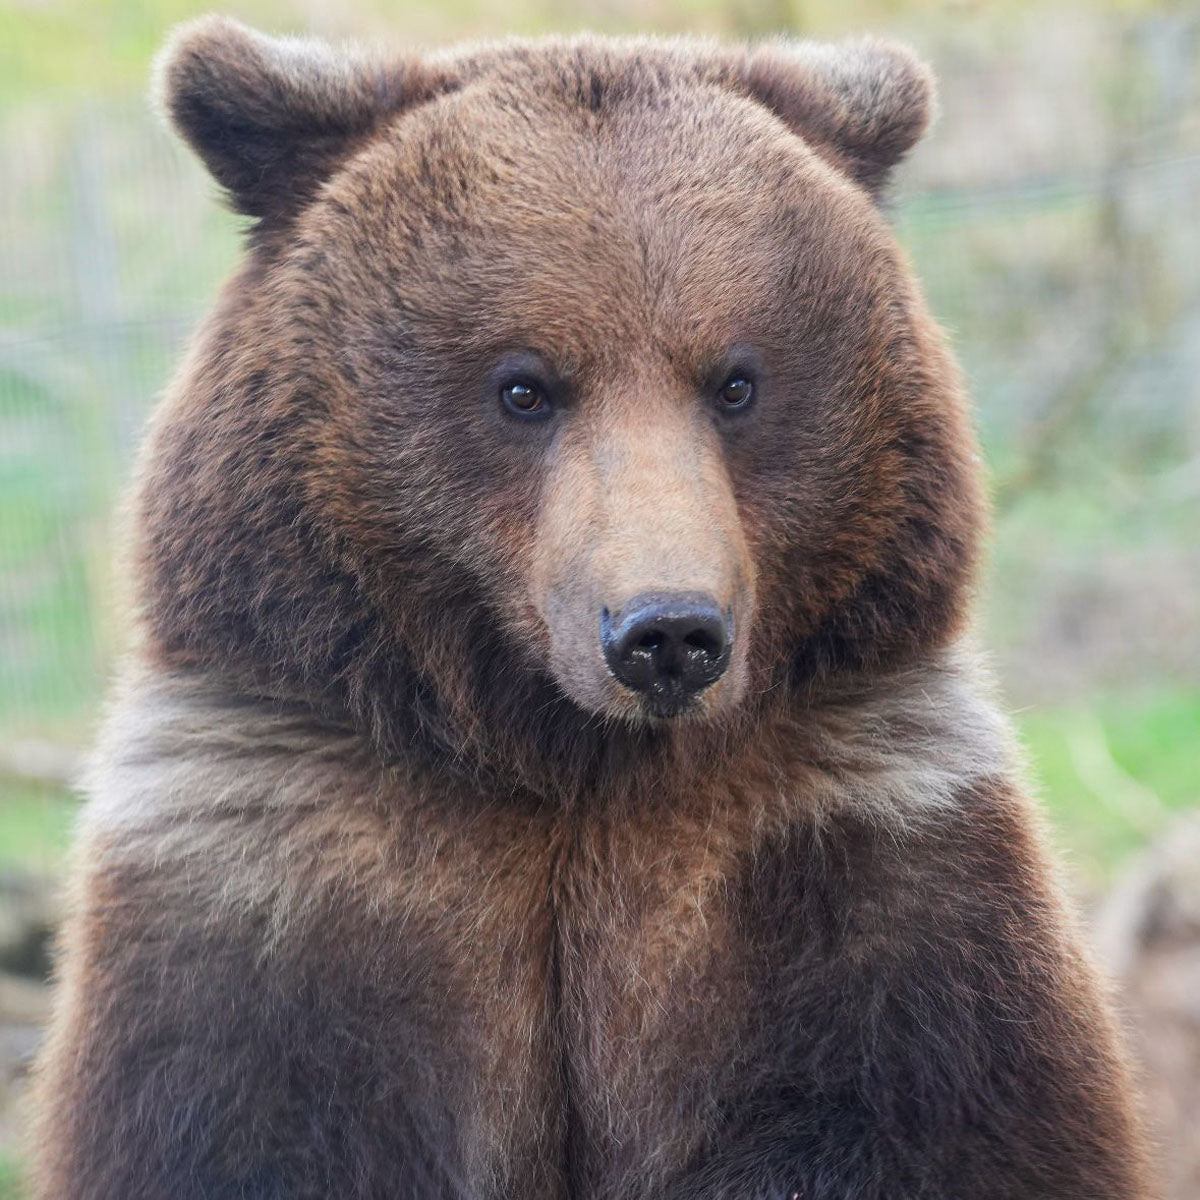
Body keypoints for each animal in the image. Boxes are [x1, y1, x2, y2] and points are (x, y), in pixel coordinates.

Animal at [29, 16, 1154, 1200]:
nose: (666, 634)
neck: (573, 764)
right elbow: (244, 1115)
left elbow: (919, 1110)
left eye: (735, 380)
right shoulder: (281, 863)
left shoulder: (860, 844)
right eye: (524, 385)